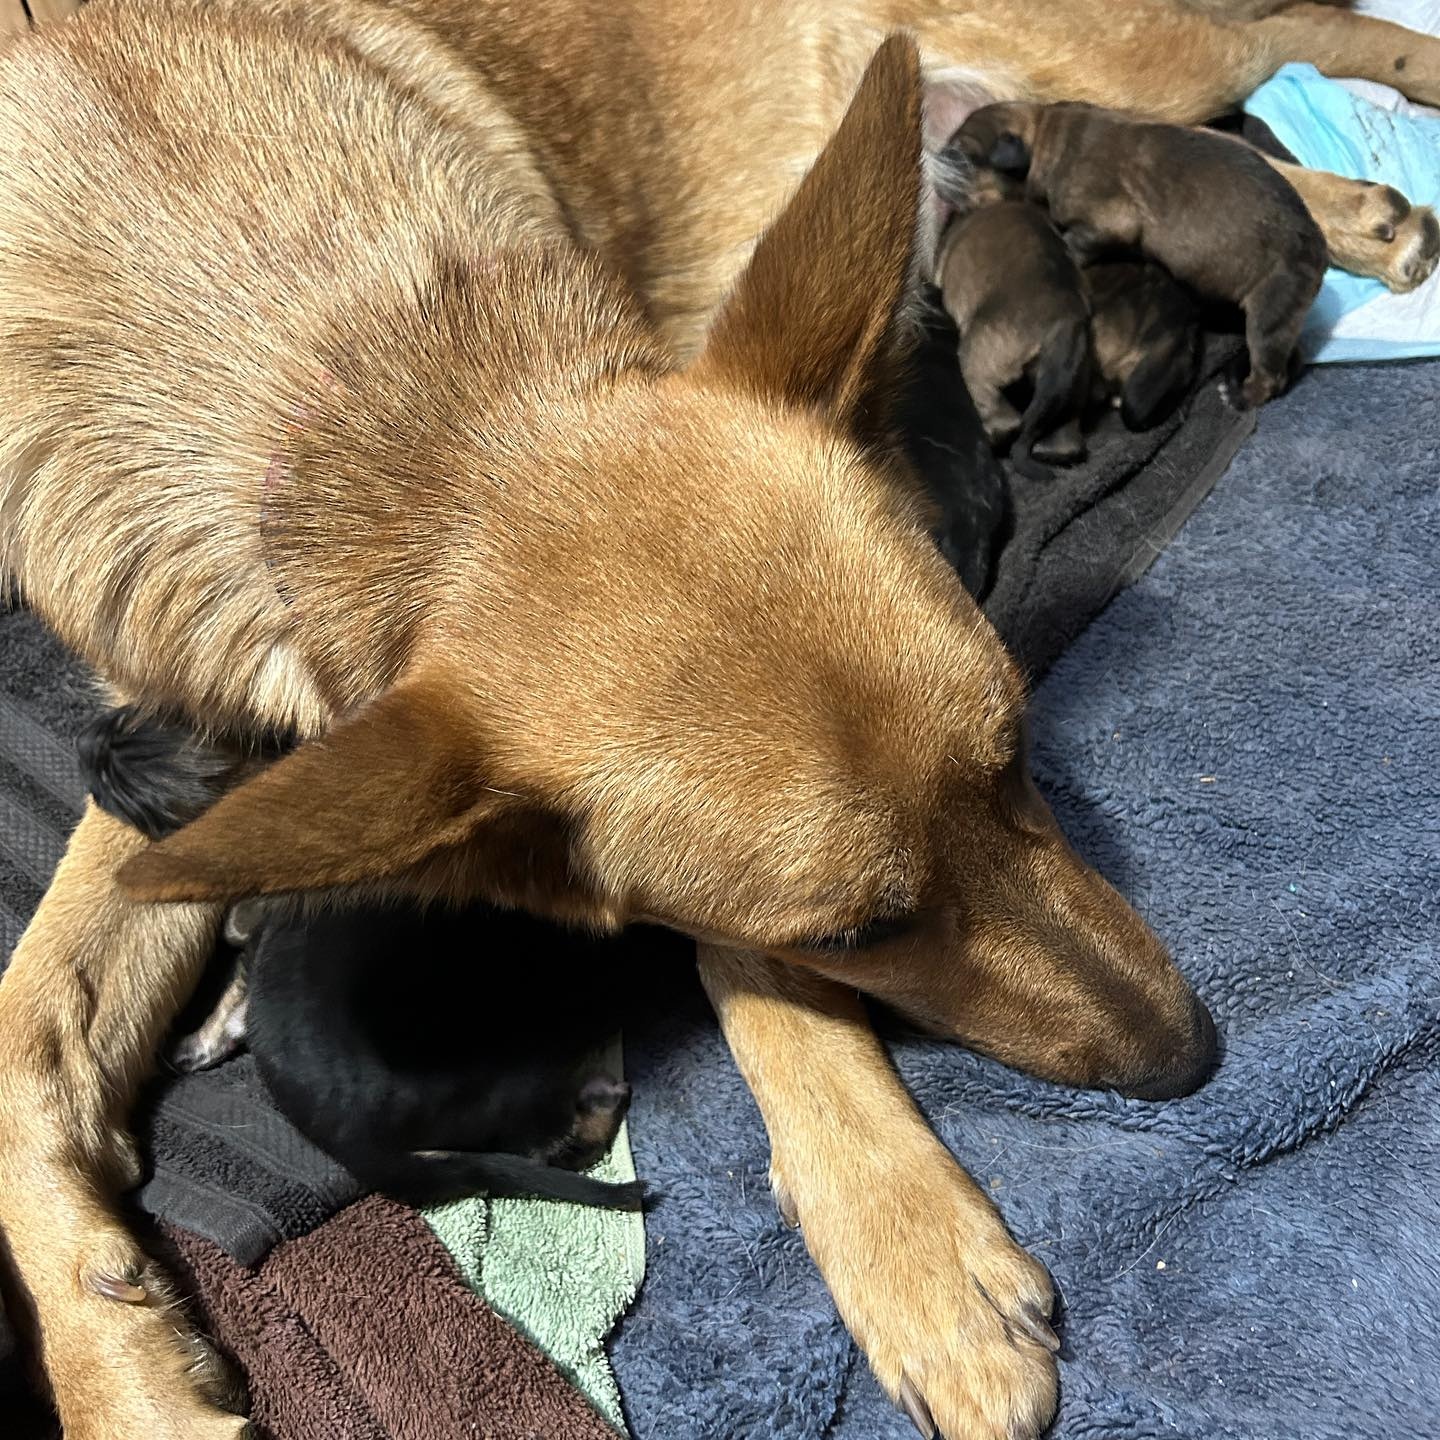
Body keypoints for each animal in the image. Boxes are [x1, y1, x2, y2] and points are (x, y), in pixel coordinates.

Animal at [75, 702, 645, 1209]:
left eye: (150, 718)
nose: (84, 741)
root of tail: (361, 1146)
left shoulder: (254, 928)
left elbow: (235, 979)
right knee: (548, 1135)